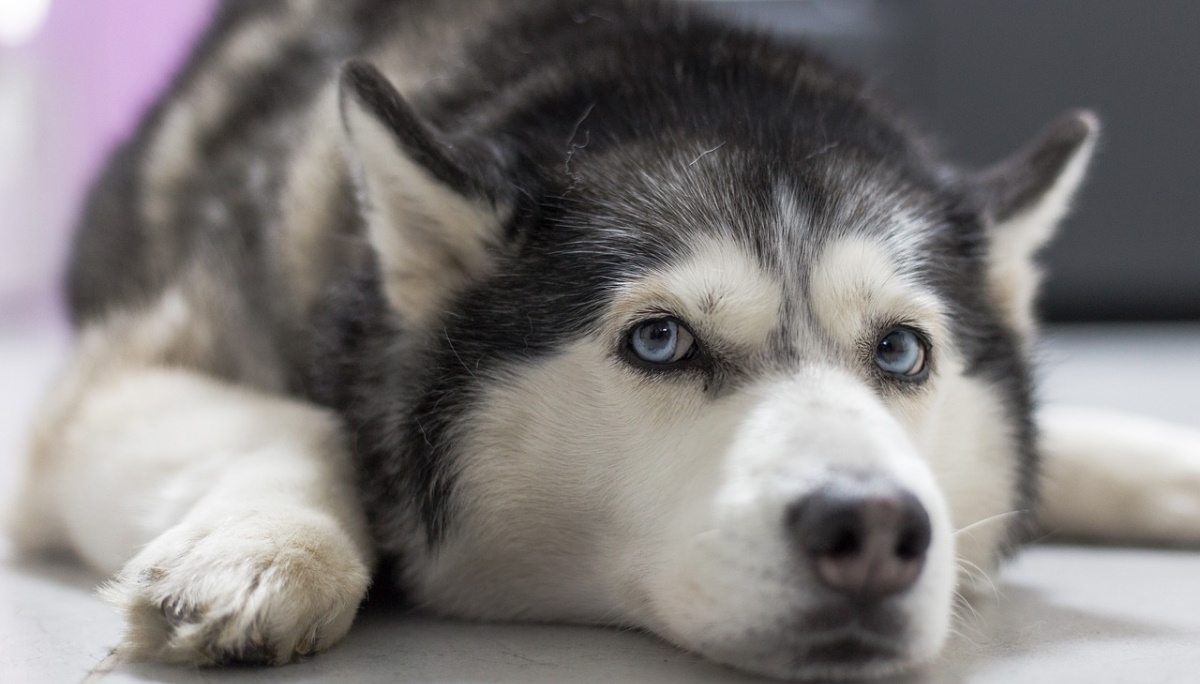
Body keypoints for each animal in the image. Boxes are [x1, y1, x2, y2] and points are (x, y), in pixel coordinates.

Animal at [9, 0, 1200, 676]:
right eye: (661, 342)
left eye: (902, 353)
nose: (872, 529)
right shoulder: (102, 393)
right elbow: (311, 427)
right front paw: (260, 551)